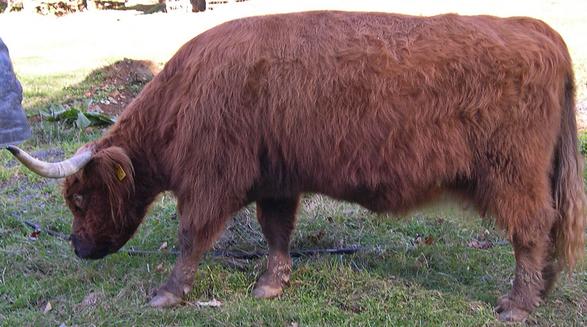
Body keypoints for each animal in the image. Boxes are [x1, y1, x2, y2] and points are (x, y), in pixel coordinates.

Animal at [8, 10, 584, 322]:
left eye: (80, 197)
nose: (79, 249)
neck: (183, 99)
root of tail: (539, 30)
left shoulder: (212, 177)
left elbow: (191, 234)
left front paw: (168, 293)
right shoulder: (275, 178)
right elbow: (276, 230)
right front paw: (272, 283)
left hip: (513, 173)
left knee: (532, 229)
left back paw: (518, 303)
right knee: (551, 228)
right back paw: (542, 290)